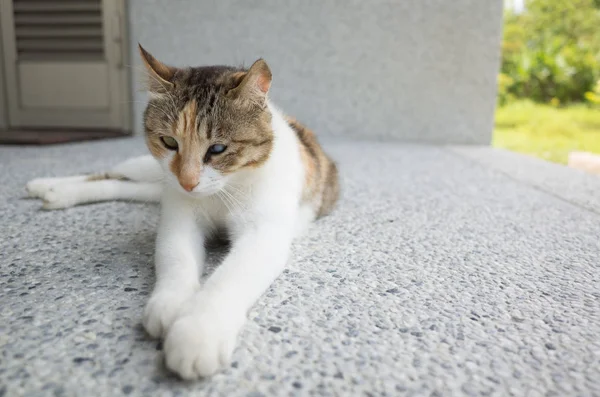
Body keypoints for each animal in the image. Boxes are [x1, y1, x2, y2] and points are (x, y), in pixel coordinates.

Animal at [25, 44, 340, 378]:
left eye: (218, 149)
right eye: (168, 141)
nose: (187, 182)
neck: (222, 191)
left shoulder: (263, 233)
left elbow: (229, 279)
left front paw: (198, 332)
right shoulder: (178, 217)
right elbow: (175, 257)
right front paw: (171, 305)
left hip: (156, 185)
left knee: (120, 184)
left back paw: (54, 193)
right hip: (152, 172)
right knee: (112, 173)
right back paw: (47, 185)